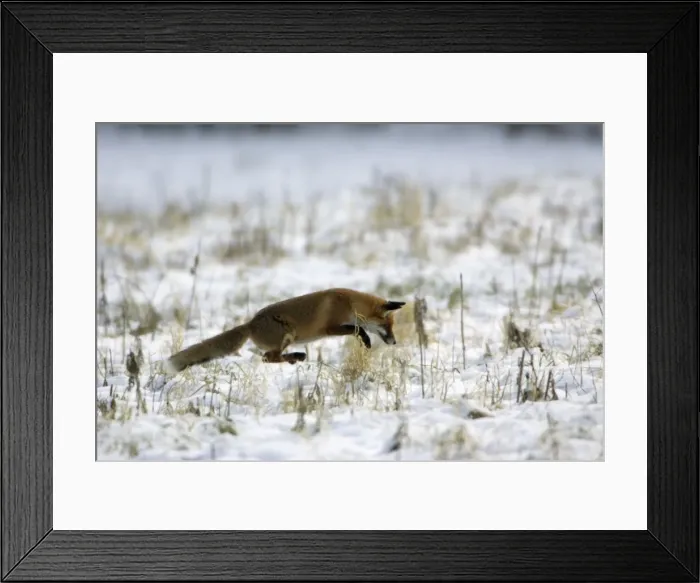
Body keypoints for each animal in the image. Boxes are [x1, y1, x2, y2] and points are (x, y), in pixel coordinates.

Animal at [163, 287, 406, 374]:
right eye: (388, 325)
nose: (394, 342)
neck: (350, 303)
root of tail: (250, 323)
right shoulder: (330, 327)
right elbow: (357, 329)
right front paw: (366, 340)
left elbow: (356, 328)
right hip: (286, 335)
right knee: (267, 358)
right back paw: (296, 356)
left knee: (268, 357)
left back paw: (295, 357)